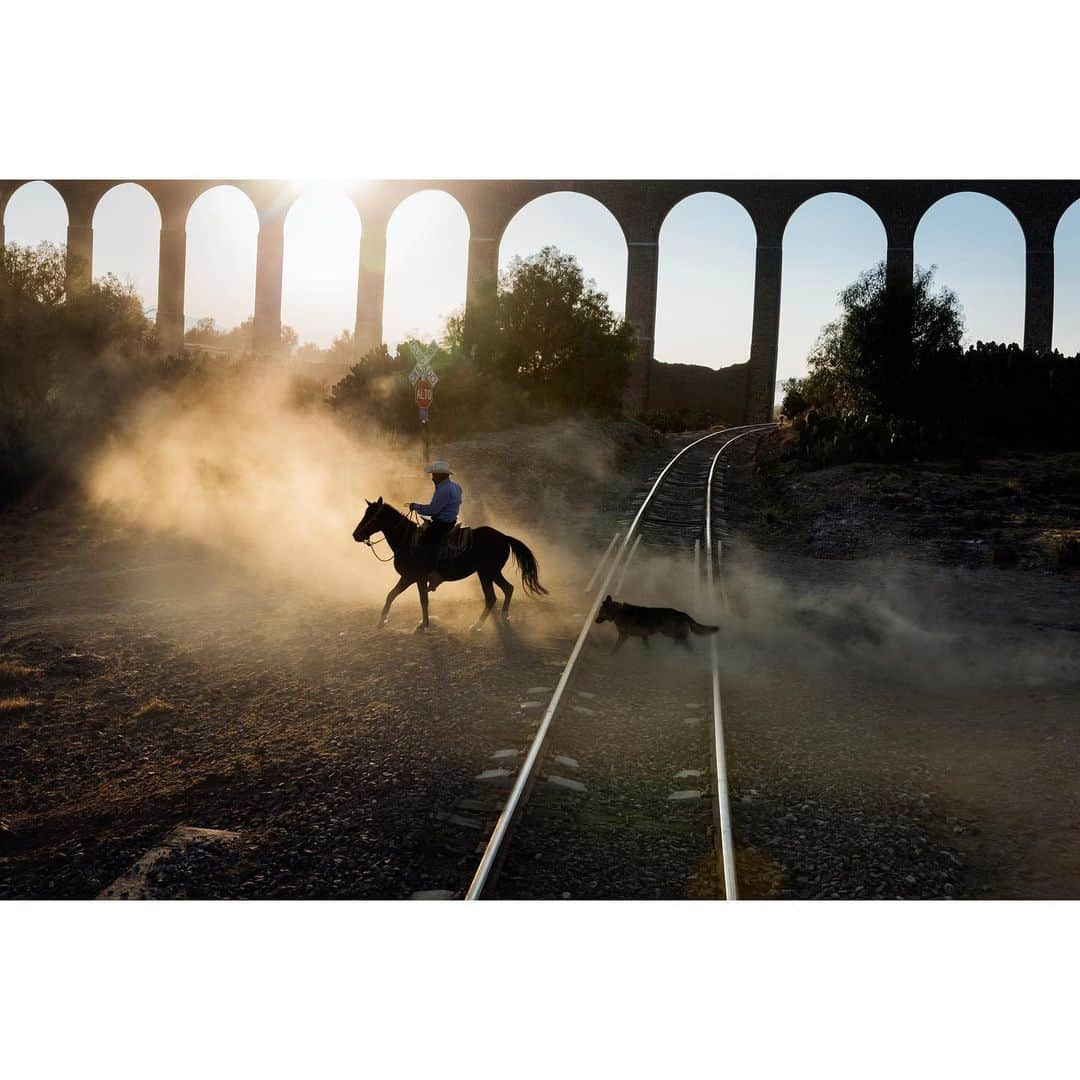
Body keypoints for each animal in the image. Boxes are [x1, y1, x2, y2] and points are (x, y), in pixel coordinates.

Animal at [349, 498, 544, 630]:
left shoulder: (411, 577)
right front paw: (422, 623)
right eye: (365, 513)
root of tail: (504, 537)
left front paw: (386, 621)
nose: (356, 535)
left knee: (493, 596)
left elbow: (401, 596)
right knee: (506, 590)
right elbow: (411, 598)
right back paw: (500, 618)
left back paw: (478, 624)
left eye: (372, 516)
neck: (407, 540)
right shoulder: (416, 579)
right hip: (490, 572)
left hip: (487, 572)